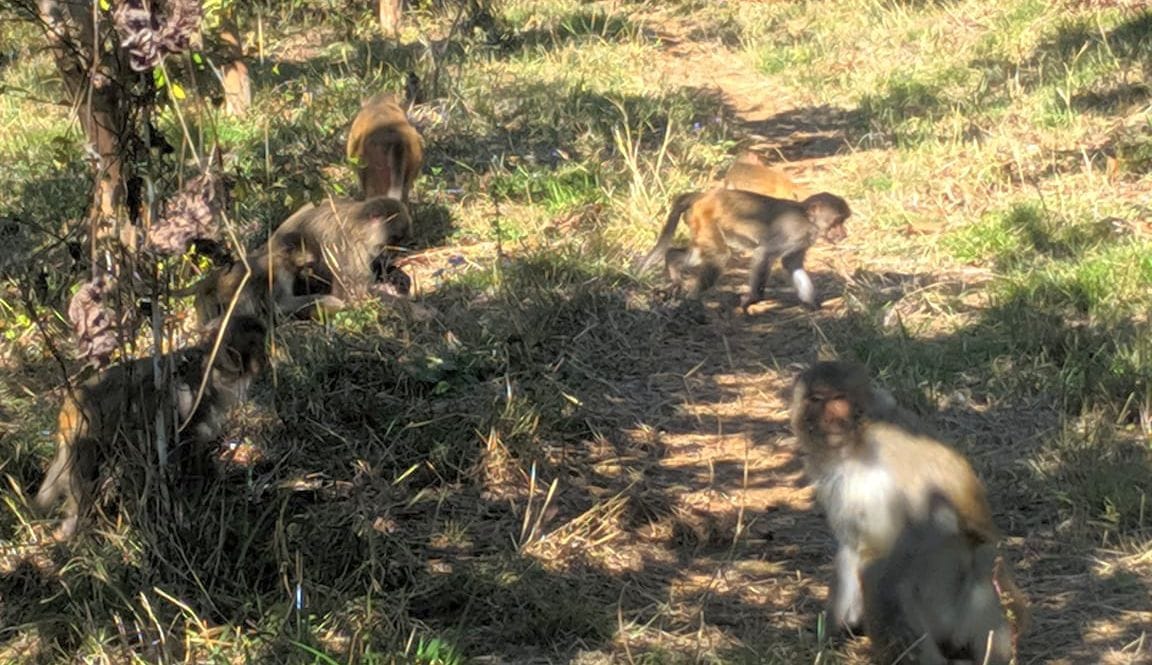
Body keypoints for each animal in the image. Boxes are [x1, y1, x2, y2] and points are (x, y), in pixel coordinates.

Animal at [33, 315, 267, 541]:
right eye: (255, 344)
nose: (264, 359)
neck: (212, 363)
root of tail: (69, 405)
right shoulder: (190, 397)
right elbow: (183, 445)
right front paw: (192, 502)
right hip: (85, 434)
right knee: (84, 478)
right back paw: (73, 529)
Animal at [636, 189, 850, 311]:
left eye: (842, 221)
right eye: (836, 222)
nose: (843, 233)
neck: (808, 221)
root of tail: (704, 196)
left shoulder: (802, 241)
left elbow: (791, 264)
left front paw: (810, 303)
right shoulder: (793, 232)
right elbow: (764, 254)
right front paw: (753, 298)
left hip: (698, 223)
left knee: (695, 254)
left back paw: (673, 264)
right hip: (705, 218)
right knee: (720, 255)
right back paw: (692, 302)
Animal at [790, 361, 1029, 661]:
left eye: (837, 399)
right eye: (815, 399)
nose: (827, 418)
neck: (855, 446)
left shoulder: (892, 443)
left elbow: (931, 520)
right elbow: (853, 544)